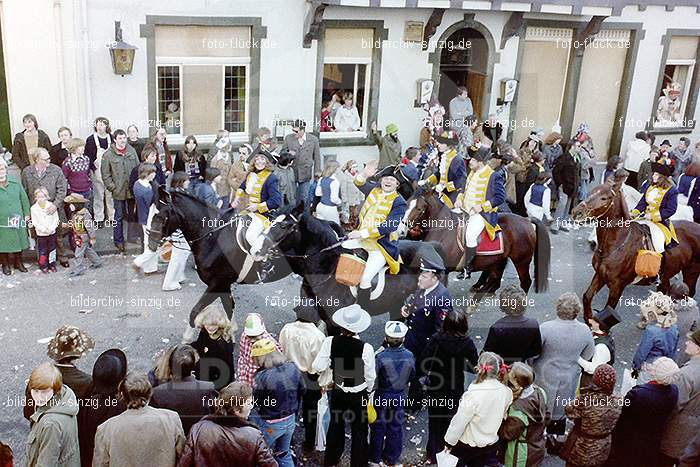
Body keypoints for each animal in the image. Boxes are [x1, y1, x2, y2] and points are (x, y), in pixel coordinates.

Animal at [150, 188, 292, 330]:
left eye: (162, 217)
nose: (151, 243)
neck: (214, 238)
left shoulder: (218, 283)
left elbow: (194, 312)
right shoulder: (223, 286)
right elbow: (228, 311)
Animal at [400, 189, 552, 292]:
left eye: (419, 209)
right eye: (406, 204)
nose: (401, 230)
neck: (443, 231)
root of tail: (526, 220)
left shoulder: (443, 270)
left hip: (521, 260)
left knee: (525, 282)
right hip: (499, 258)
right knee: (495, 275)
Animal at [572, 178, 700, 322]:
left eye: (604, 198)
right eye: (591, 192)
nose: (576, 212)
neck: (616, 243)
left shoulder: (617, 286)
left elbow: (608, 310)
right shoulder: (600, 275)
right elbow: (587, 296)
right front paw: (588, 318)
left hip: (692, 271)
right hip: (667, 275)